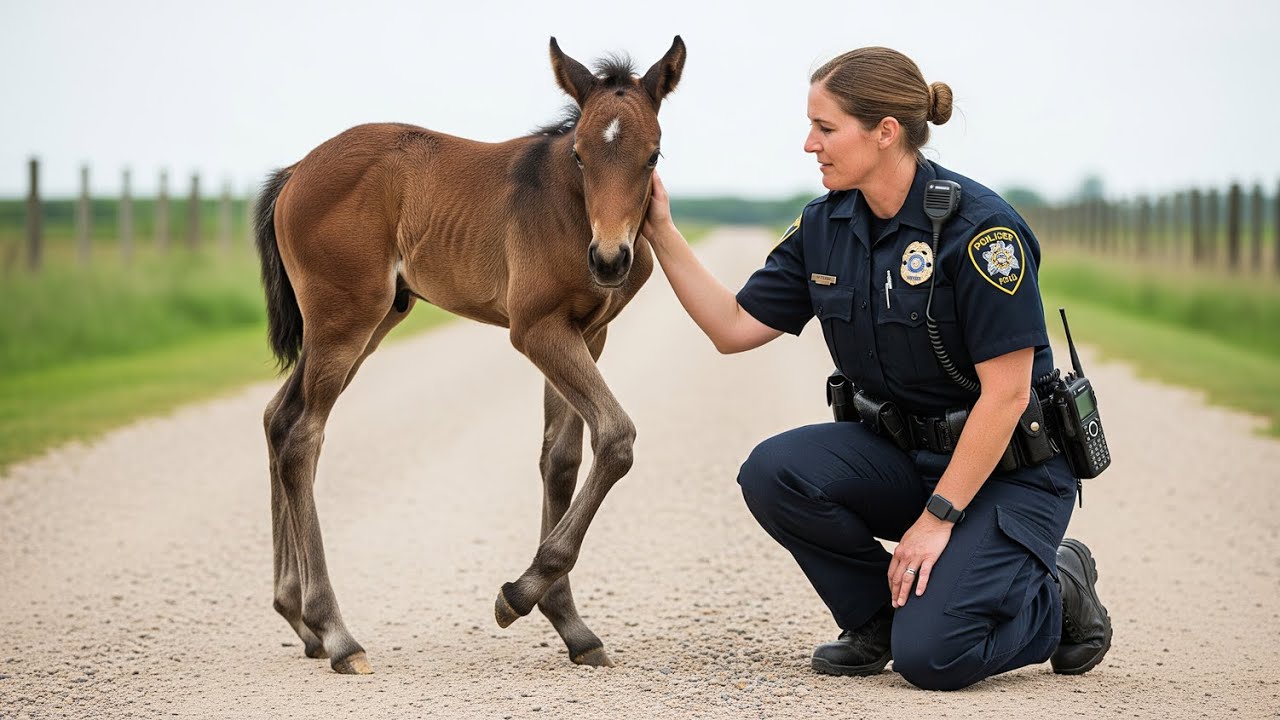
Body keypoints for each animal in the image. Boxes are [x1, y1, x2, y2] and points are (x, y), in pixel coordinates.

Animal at [253, 36, 686, 674]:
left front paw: (571, 625)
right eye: (580, 155)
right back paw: (336, 633)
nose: (608, 261)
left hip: (371, 319)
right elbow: (615, 436)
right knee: (303, 437)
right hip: (344, 319)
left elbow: (560, 458)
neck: (569, 210)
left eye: (653, 156)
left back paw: (298, 618)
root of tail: (295, 172)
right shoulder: (536, 330)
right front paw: (518, 596)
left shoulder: (587, 333)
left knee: (279, 419)